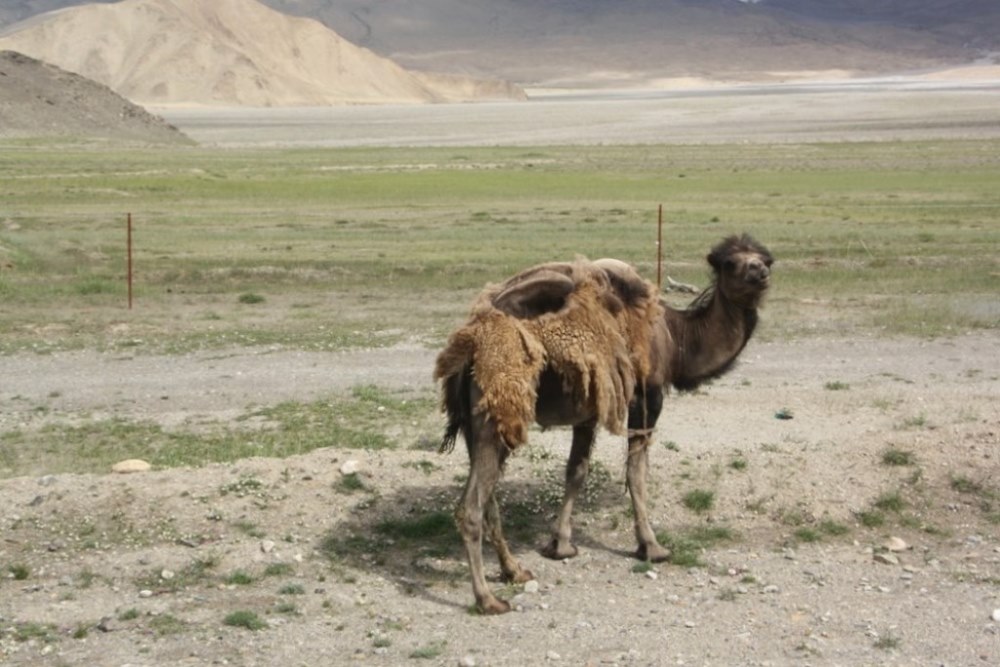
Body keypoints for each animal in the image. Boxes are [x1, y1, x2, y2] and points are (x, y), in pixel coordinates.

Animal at [432, 234, 772, 616]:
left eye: (766, 259)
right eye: (730, 263)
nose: (759, 274)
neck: (676, 339)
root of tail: (469, 346)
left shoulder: (589, 407)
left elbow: (576, 471)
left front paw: (560, 544)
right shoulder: (647, 396)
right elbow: (636, 473)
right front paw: (651, 546)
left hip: (478, 422)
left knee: (487, 494)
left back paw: (514, 570)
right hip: (498, 409)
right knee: (471, 506)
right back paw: (487, 599)